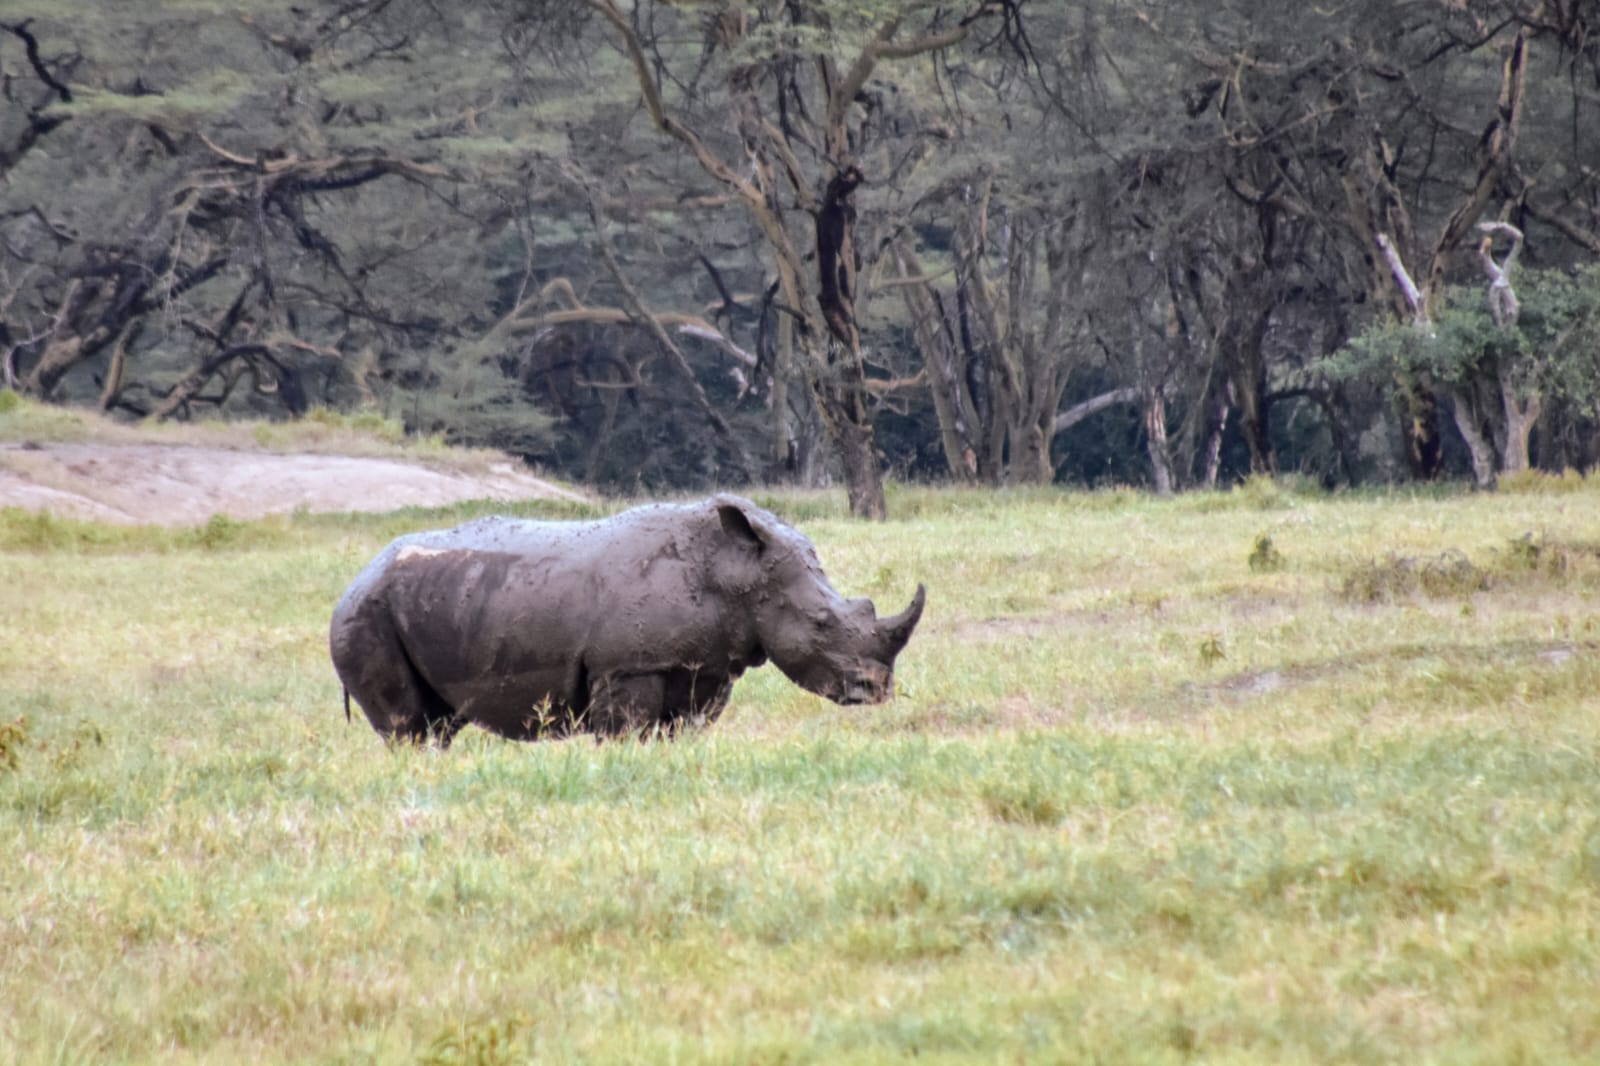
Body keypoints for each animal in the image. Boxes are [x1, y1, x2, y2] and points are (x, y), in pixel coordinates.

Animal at [329, 494, 926, 745]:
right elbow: (627, 731)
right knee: (408, 725)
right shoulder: (628, 666)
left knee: (438, 722)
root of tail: (356, 576)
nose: (876, 691)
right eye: (822, 624)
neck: (734, 572)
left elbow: (684, 728)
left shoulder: (704, 665)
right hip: (366, 615)